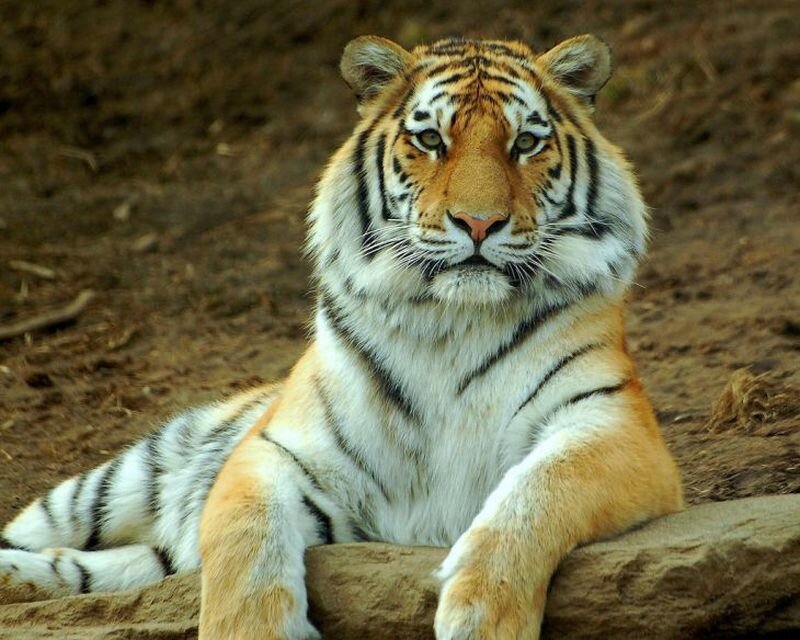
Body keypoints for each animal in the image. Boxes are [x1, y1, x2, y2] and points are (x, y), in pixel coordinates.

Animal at [0, 34, 683, 639]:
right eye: (430, 139)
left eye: (527, 143)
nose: (478, 223)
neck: (454, 321)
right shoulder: (272, 452)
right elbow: (244, 550)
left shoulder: (613, 427)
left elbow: (535, 494)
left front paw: (481, 615)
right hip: (121, 479)